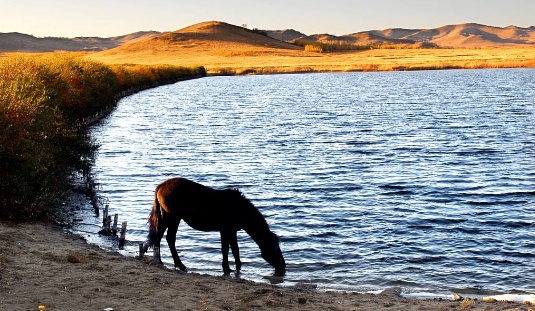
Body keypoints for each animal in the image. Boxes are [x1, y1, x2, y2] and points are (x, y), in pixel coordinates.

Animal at [147, 178, 286, 276]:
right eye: (274, 248)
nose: (283, 265)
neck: (239, 208)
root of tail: (161, 186)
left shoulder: (232, 231)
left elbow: (235, 250)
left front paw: (238, 268)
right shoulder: (225, 230)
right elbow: (225, 249)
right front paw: (226, 268)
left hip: (169, 217)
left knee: (160, 235)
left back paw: (162, 261)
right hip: (173, 217)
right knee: (169, 238)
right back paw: (179, 265)